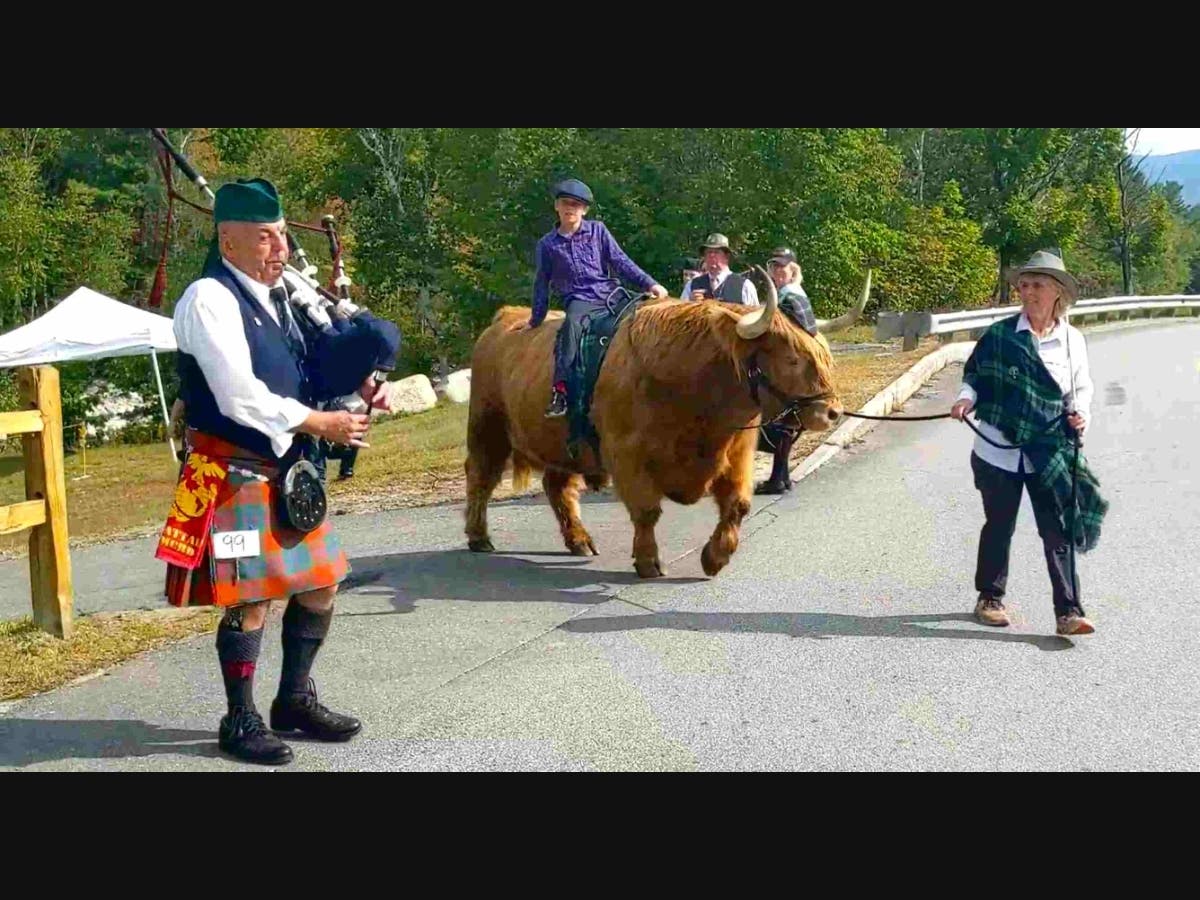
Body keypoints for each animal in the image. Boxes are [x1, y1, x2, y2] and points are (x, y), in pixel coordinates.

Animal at [464, 266, 870, 578]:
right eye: (792, 359)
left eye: (823, 354)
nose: (832, 411)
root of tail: (506, 318)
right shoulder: (627, 455)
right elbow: (647, 511)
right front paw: (648, 562)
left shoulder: (737, 453)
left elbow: (738, 504)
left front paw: (714, 558)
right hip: (487, 426)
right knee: (481, 477)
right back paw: (478, 536)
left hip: (560, 443)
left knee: (557, 486)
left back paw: (579, 541)